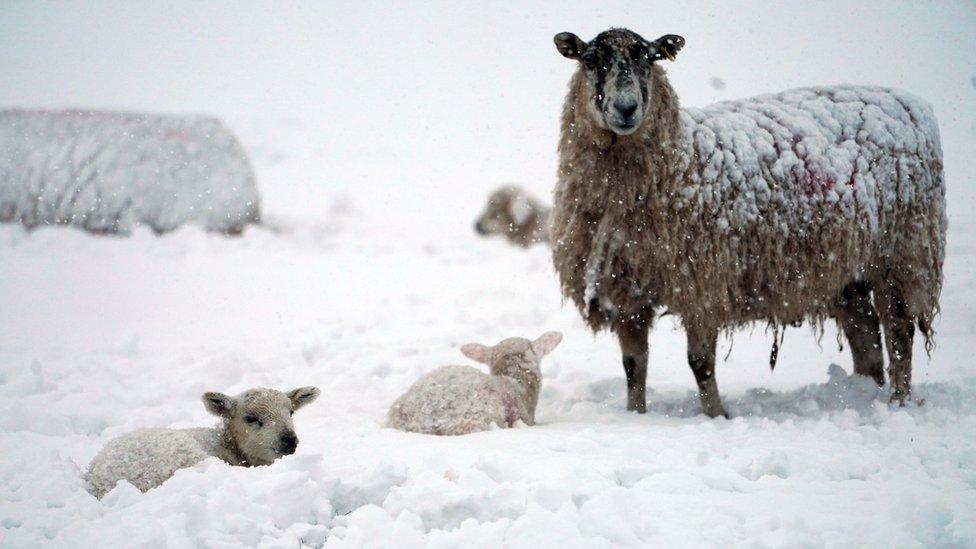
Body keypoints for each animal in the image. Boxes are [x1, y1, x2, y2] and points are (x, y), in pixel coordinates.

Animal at [548, 28, 944, 416]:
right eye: (589, 60)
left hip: (903, 255)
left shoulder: (703, 285)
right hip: (849, 270)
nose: (626, 108)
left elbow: (700, 363)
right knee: (867, 337)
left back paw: (897, 402)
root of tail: (912, 104)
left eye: (650, 58)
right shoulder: (625, 291)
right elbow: (634, 365)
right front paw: (635, 416)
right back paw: (865, 395)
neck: (677, 159)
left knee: (899, 332)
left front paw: (717, 416)